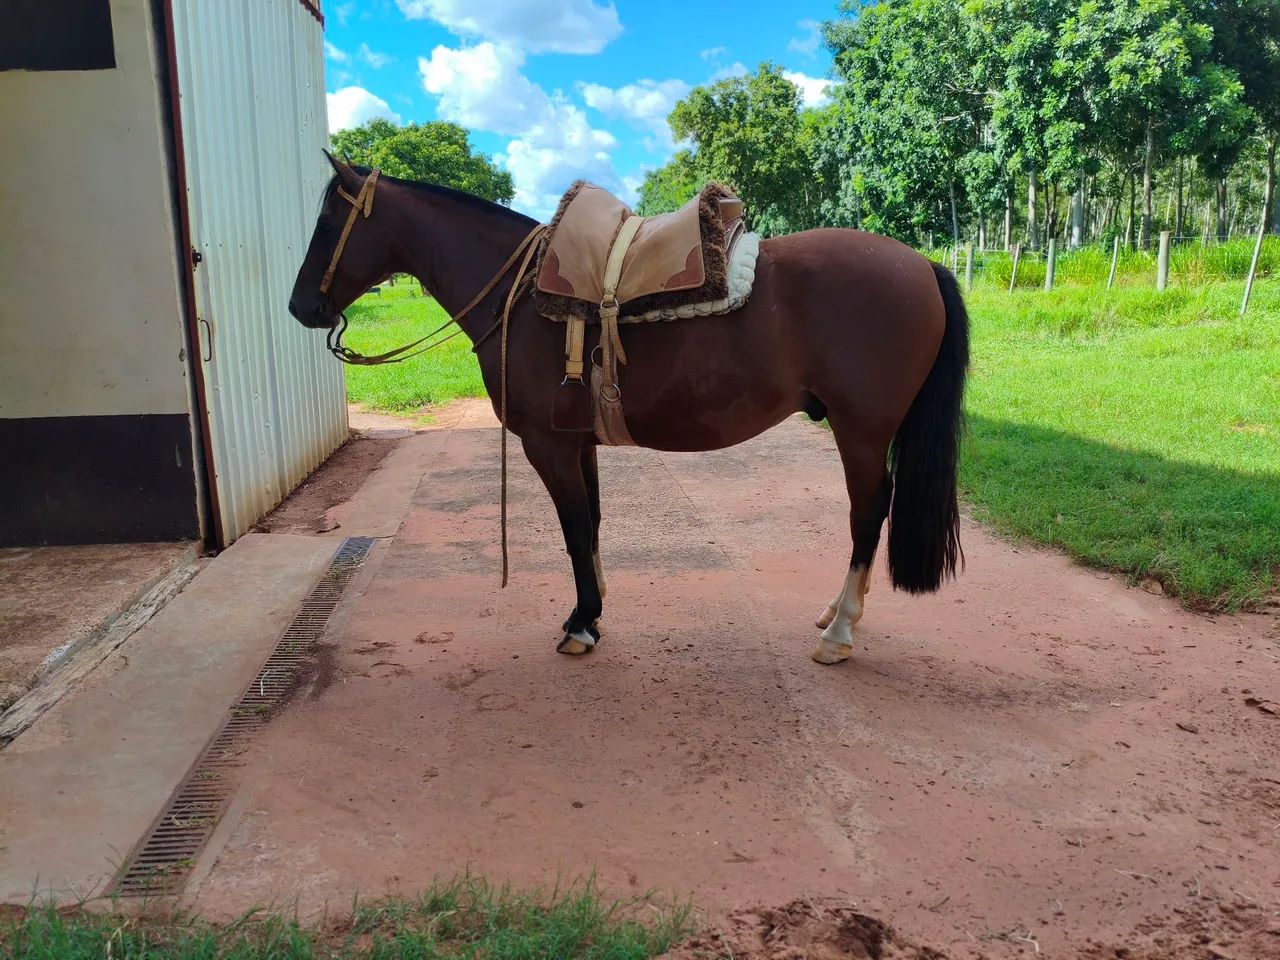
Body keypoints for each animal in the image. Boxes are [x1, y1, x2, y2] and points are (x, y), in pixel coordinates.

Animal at [289, 153, 969, 664]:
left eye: (325, 224)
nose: (301, 307)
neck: (521, 297)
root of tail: (924, 265)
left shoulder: (547, 445)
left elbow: (572, 528)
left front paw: (580, 623)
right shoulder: (576, 441)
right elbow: (589, 522)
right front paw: (595, 609)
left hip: (862, 431)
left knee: (868, 512)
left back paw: (841, 629)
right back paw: (834, 614)